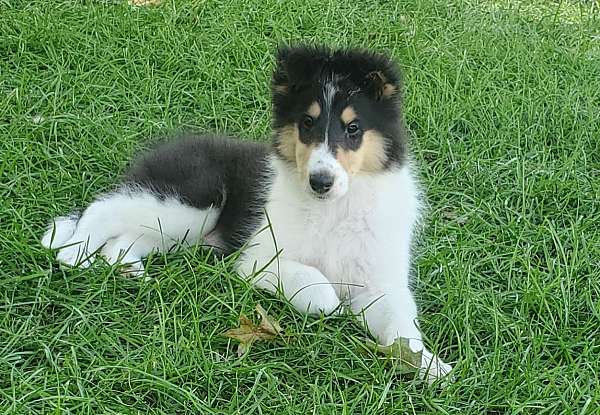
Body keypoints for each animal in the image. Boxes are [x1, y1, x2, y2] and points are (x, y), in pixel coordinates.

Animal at [42, 45, 452, 384]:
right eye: (306, 123)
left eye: (353, 128)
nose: (320, 182)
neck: (334, 208)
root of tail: (164, 149)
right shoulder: (257, 258)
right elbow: (315, 285)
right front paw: (332, 303)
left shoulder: (381, 282)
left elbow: (403, 329)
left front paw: (434, 369)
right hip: (188, 204)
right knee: (103, 208)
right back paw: (74, 253)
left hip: (180, 230)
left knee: (125, 239)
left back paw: (130, 269)